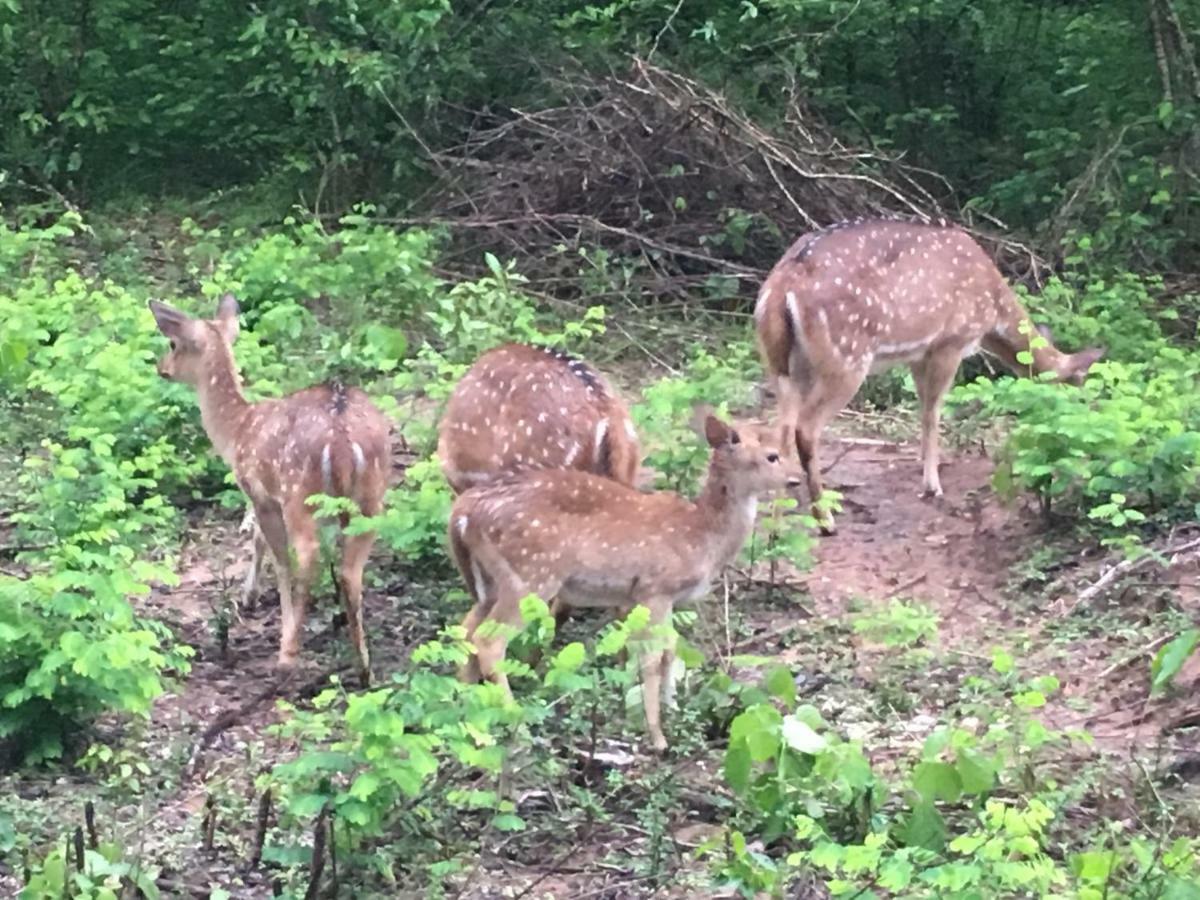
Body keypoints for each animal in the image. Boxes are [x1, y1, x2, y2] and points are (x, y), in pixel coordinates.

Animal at [144, 296, 388, 681]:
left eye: (172, 343)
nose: (161, 367)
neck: (236, 432)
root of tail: (342, 441)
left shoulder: (260, 492)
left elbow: (273, 551)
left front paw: (254, 601)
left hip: (299, 492)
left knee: (306, 556)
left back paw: (288, 654)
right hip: (371, 498)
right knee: (351, 570)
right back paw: (363, 666)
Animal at [446, 415, 801, 753]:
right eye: (772, 456)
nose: (796, 479)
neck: (702, 534)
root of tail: (463, 513)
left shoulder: (655, 598)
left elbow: (671, 648)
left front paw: (673, 709)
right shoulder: (654, 588)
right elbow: (652, 657)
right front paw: (658, 736)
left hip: (490, 582)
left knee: (465, 629)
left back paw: (468, 711)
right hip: (531, 574)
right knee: (489, 640)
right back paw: (517, 726)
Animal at [758, 219, 1104, 535]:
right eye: (1078, 394)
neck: (992, 309)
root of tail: (783, 284)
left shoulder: (919, 353)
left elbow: (923, 405)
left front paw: (923, 464)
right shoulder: (949, 341)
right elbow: (933, 412)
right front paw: (932, 484)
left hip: (781, 364)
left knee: (782, 429)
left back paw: (776, 526)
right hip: (845, 356)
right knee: (806, 429)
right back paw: (825, 520)